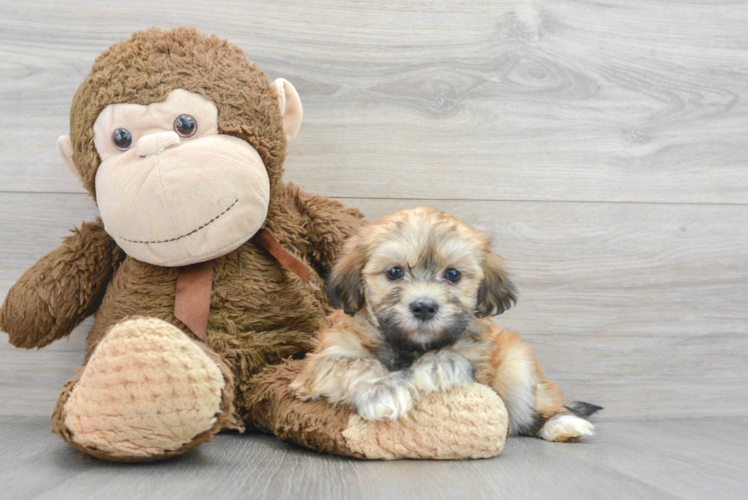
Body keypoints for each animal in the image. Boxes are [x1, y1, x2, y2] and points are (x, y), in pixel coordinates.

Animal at [290, 206, 600, 442]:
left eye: (452, 274)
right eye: (394, 272)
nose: (424, 307)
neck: (409, 346)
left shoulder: (482, 366)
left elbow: (457, 358)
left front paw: (439, 365)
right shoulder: (322, 359)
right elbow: (353, 364)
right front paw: (383, 391)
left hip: (518, 364)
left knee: (536, 409)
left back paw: (562, 424)